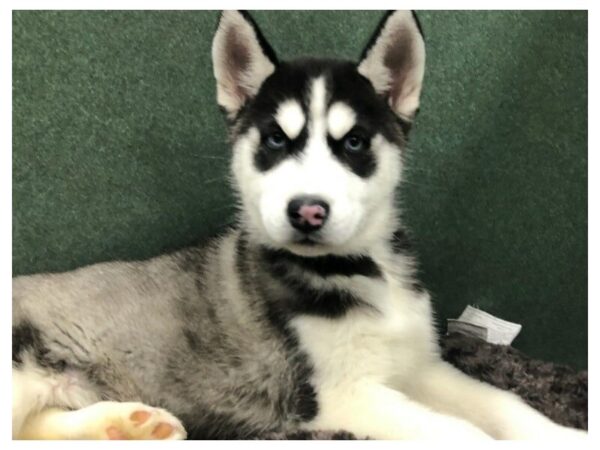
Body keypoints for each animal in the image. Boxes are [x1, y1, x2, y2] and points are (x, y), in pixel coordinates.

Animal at [10, 10, 584, 440]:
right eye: (274, 140)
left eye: (353, 142)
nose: (307, 210)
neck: (360, 271)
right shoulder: (340, 397)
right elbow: (460, 431)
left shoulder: (421, 366)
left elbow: (504, 404)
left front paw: (565, 435)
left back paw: (130, 425)